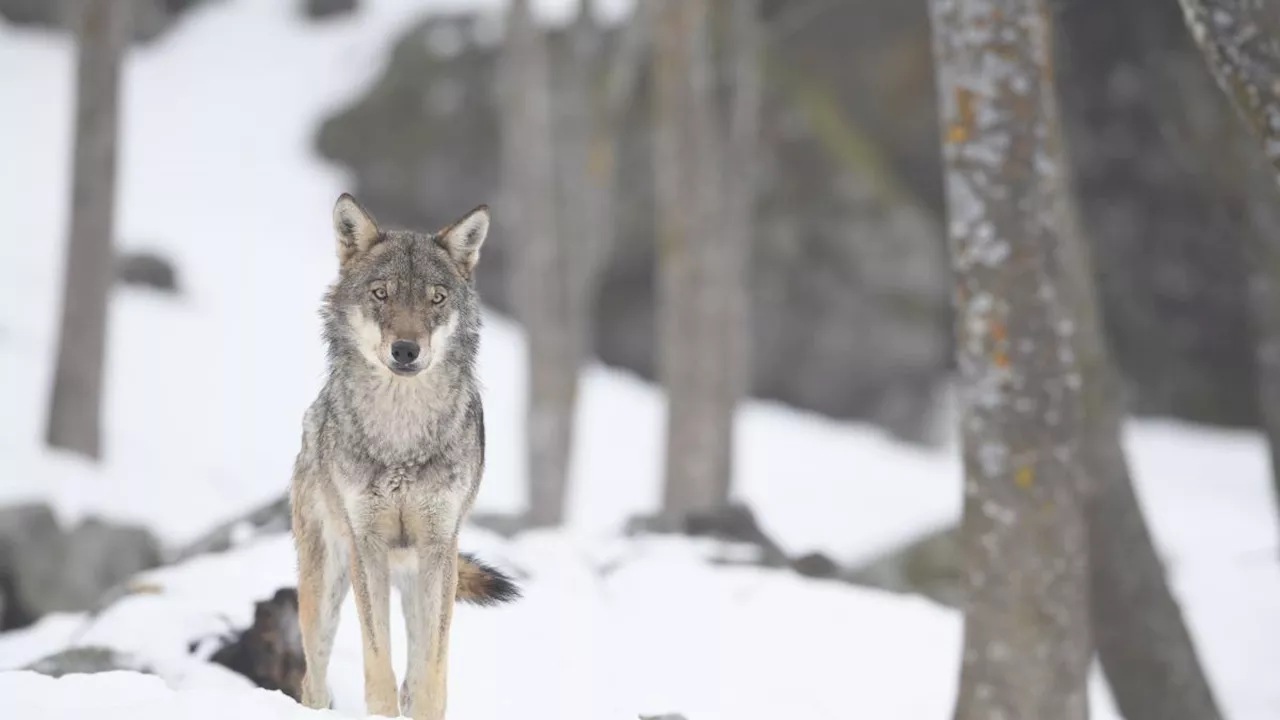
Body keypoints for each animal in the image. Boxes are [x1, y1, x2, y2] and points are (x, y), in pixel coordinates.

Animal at [289, 192, 514, 717]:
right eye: (381, 294)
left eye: (436, 297)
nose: (406, 350)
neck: (402, 438)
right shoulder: (365, 546)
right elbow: (378, 666)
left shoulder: (439, 546)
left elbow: (431, 672)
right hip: (325, 586)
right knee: (313, 678)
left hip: (418, 576)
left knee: (413, 667)